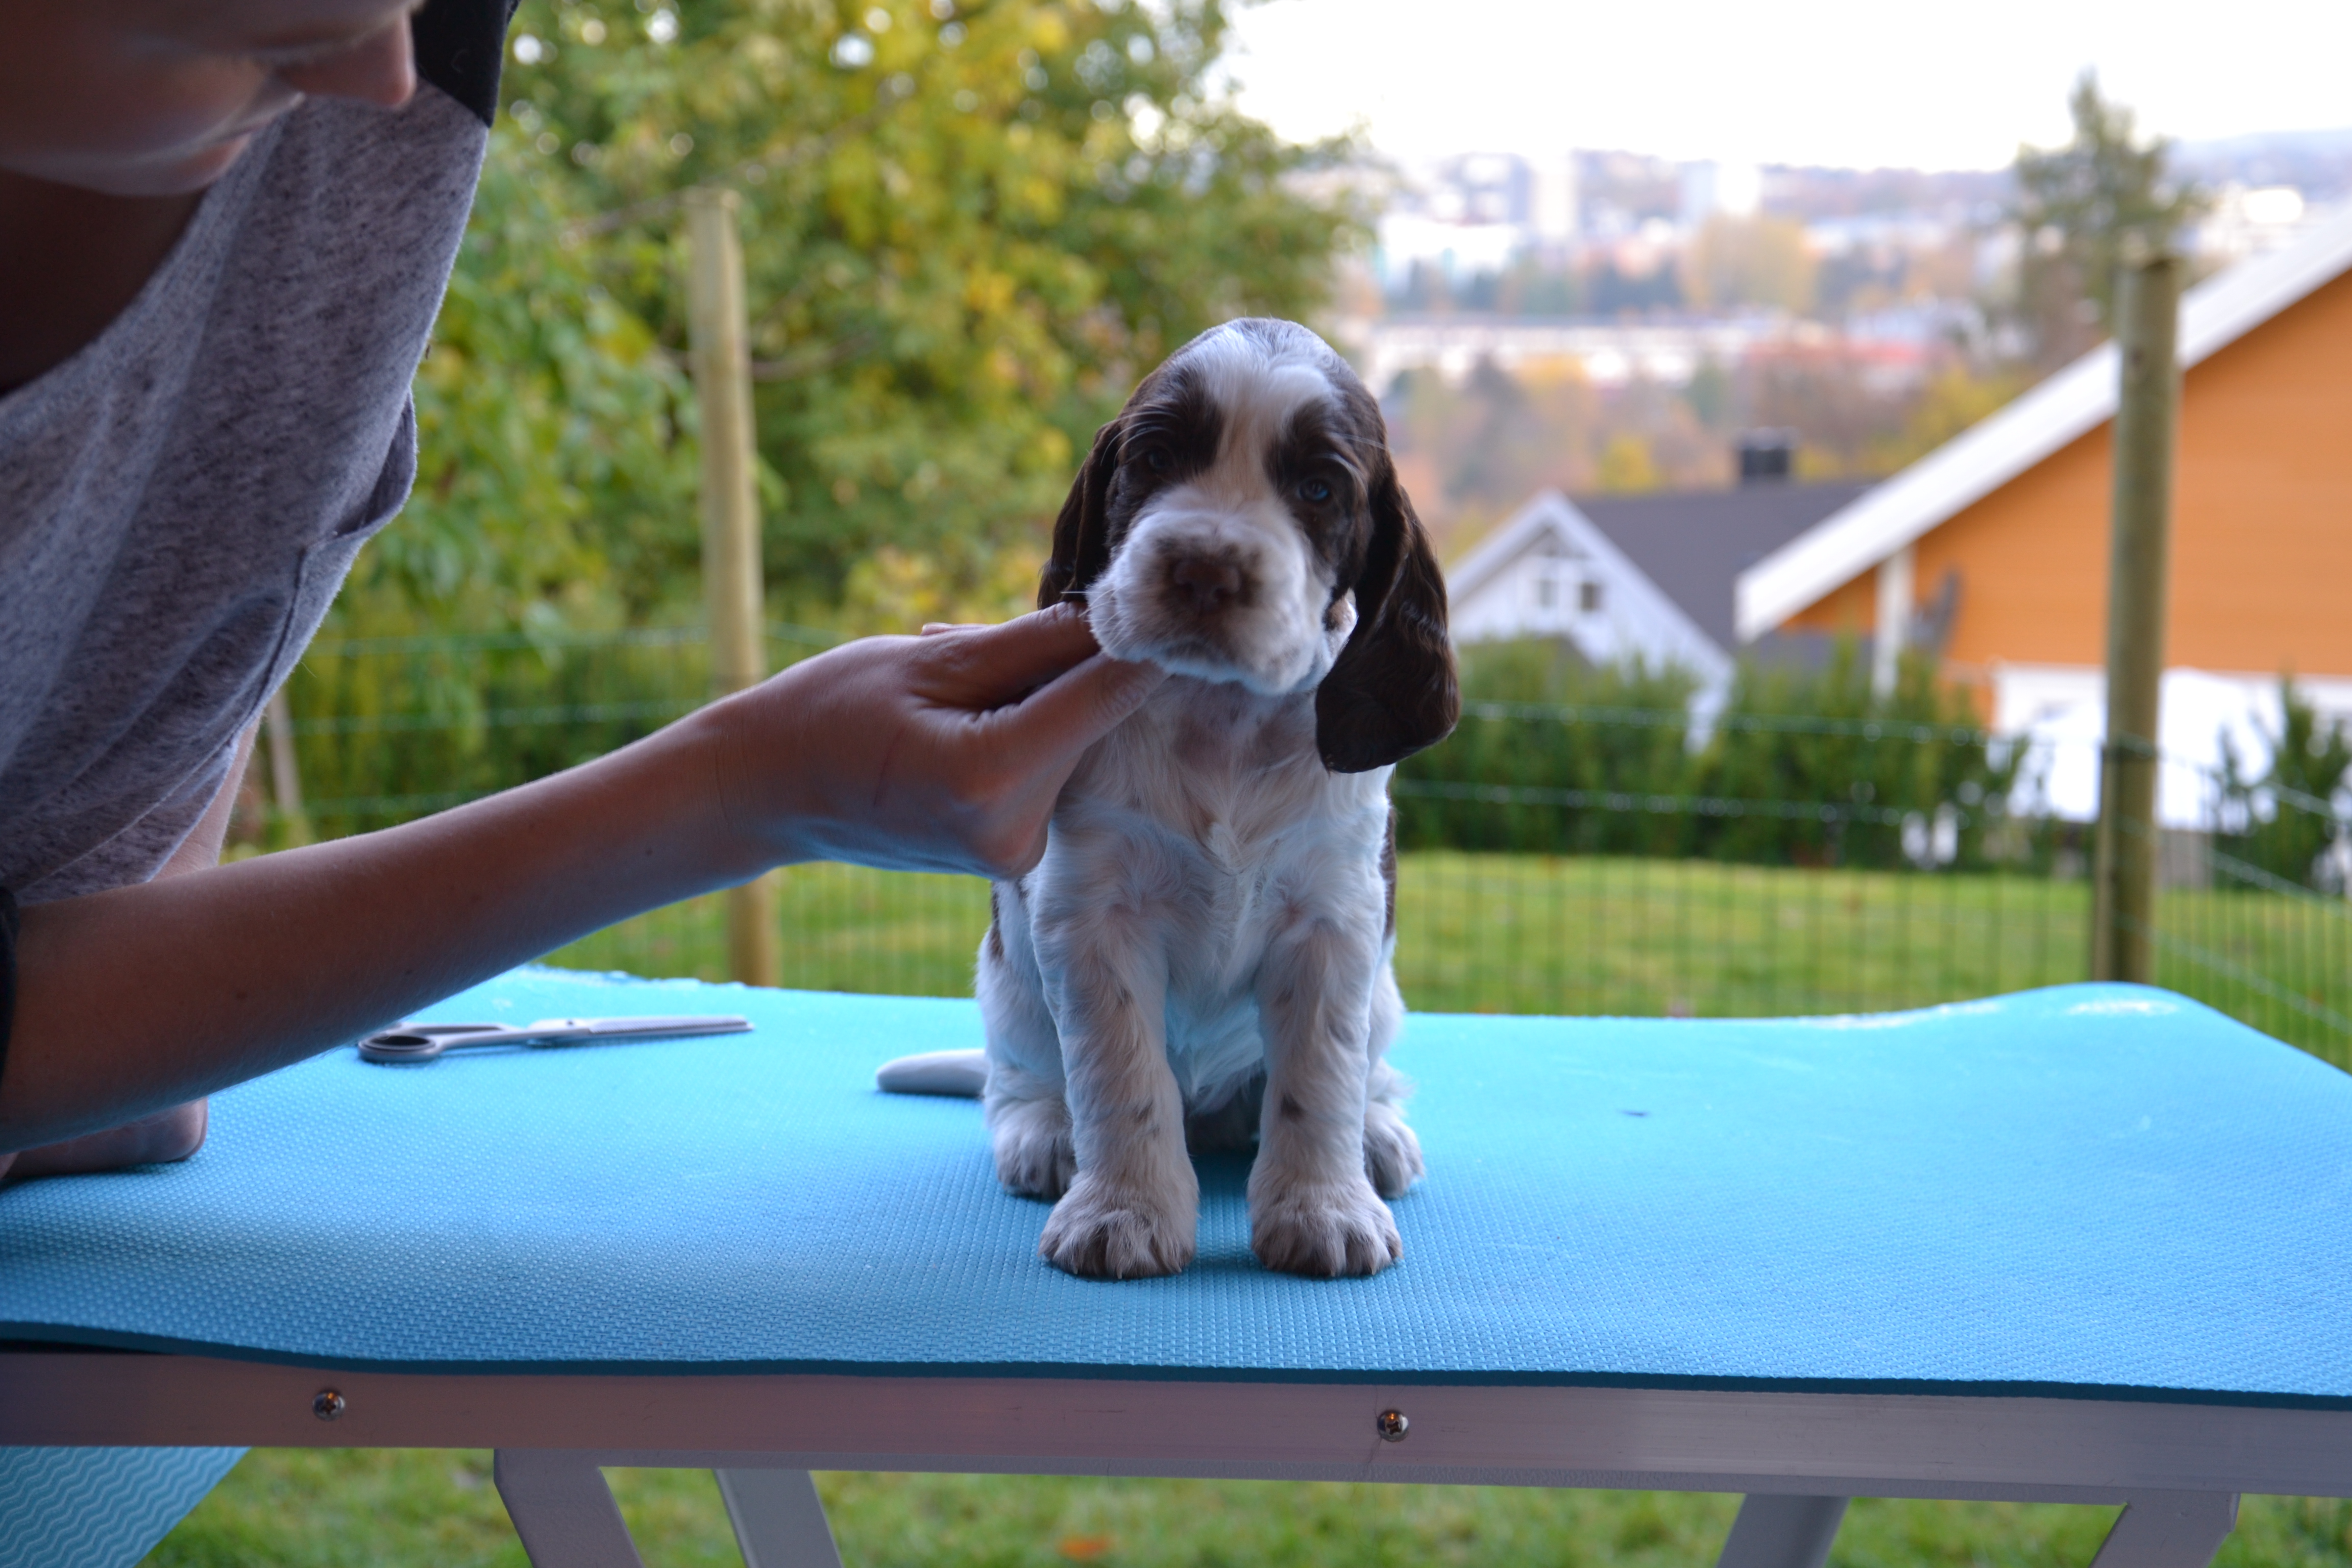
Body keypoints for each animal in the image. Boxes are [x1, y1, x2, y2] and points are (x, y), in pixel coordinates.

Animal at [976, 317, 1458, 1280]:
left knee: (1364, 1073)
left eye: (1318, 488)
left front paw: (1324, 1209)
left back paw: (1378, 1136)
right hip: (1006, 984)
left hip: (1385, 997)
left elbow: (1319, 1078)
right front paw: (1122, 1211)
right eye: (1155, 457)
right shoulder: (1092, 914)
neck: (1221, 717)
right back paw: (1043, 1134)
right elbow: (1119, 1074)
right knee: (1018, 1077)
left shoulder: (1334, 920)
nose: (1203, 569)